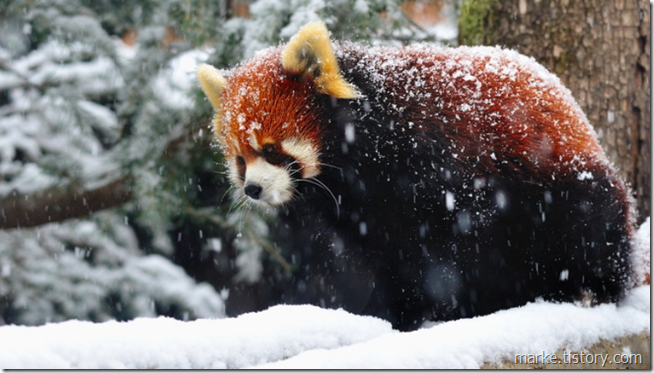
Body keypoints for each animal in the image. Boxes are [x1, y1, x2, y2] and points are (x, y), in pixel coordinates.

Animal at [197, 21, 640, 328]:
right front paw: (392, 310)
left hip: (563, 183)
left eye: (272, 150)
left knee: (592, 228)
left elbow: (452, 246)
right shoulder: (366, 215)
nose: (253, 189)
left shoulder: (440, 168)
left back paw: (592, 287)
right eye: (240, 160)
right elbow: (391, 257)